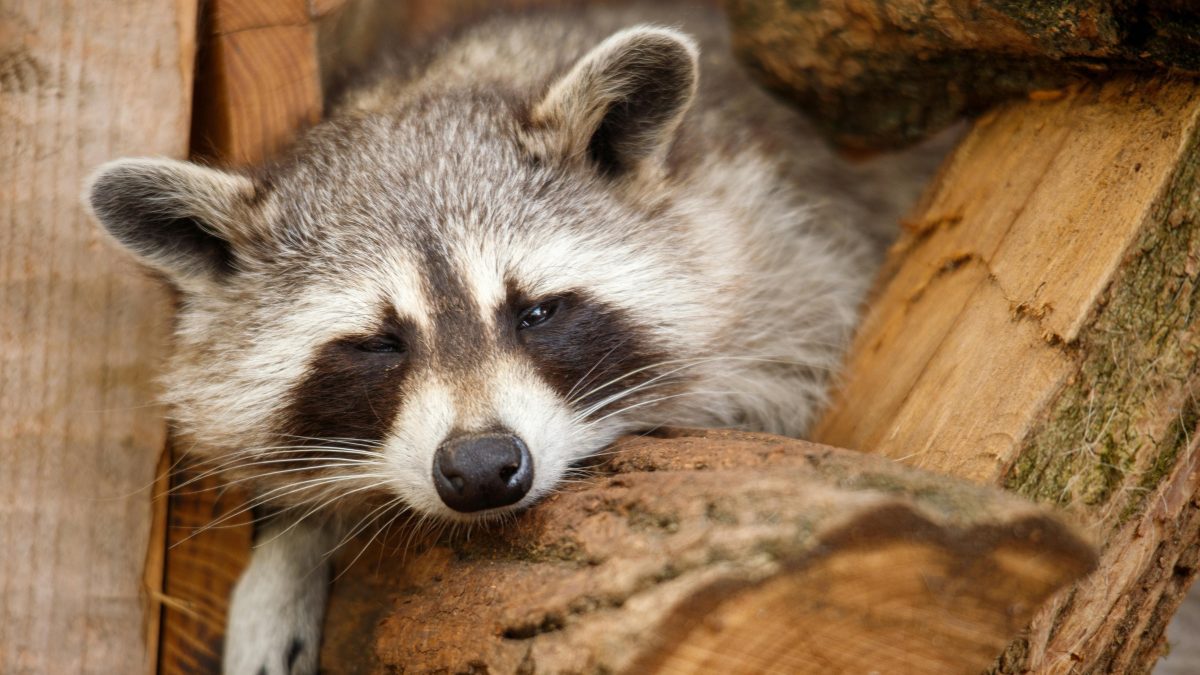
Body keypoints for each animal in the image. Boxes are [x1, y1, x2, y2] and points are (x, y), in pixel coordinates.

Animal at [86, 4, 945, 674]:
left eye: (536, 313)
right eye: (379, 344)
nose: (480, 468)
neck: (425, 88)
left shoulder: (786, 250)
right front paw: (292, 548)